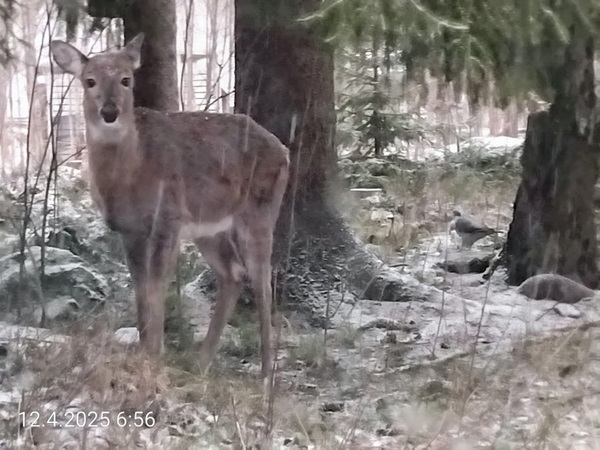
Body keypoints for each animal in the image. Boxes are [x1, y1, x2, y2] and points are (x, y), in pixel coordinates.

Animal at [49, 34, 289, 386]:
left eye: (126, 79)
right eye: (89, 80)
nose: (109, 112)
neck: (132, 175)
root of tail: (284, 150)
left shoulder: (168, 217)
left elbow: (156, 286)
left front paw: (155, 356)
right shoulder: (129, 230)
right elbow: (139, 290)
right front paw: (145, 351)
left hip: (260, 211)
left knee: (262, 280)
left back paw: (265, 375)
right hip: (209, 226)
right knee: (233, 273)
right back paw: (201, 362)